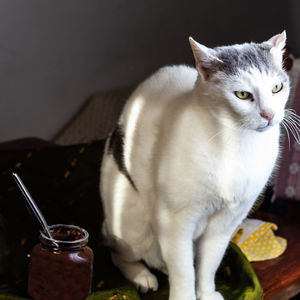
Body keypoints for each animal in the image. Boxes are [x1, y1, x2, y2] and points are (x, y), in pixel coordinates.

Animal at [101, 31, 290, 298]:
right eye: (242, 95)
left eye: (276, 88)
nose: (269, 115)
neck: (237, 145)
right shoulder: (175, 222)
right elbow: (183, 273)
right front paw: (185, 294)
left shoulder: (226, 222)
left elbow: (208, 265)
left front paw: (207, 293)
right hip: (132, 225)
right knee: (119, 254)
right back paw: (143, 277)